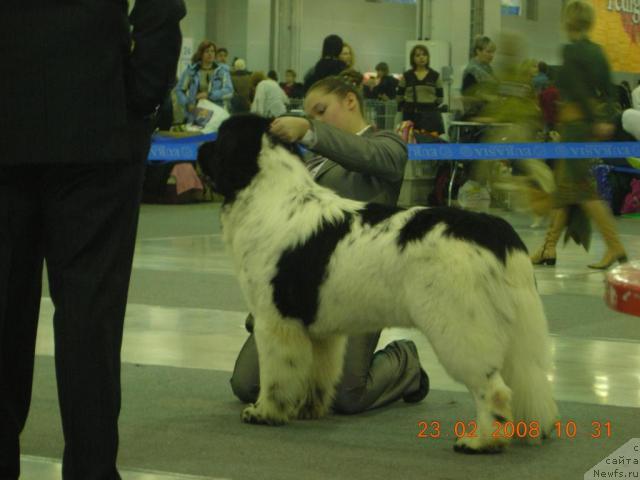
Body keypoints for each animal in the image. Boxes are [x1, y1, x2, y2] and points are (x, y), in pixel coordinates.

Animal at [198, 115, 556, 454]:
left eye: (220, 140)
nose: (199, 149)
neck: (267, 194)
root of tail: (496, 231)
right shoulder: (320, 331)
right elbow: (318, 372)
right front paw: (308, 409)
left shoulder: (275, 321)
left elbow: (275, 374)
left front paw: (265, 412)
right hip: (514, 330)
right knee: (529, 378)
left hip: (460, 326)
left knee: (493, 389)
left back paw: (481, 442)